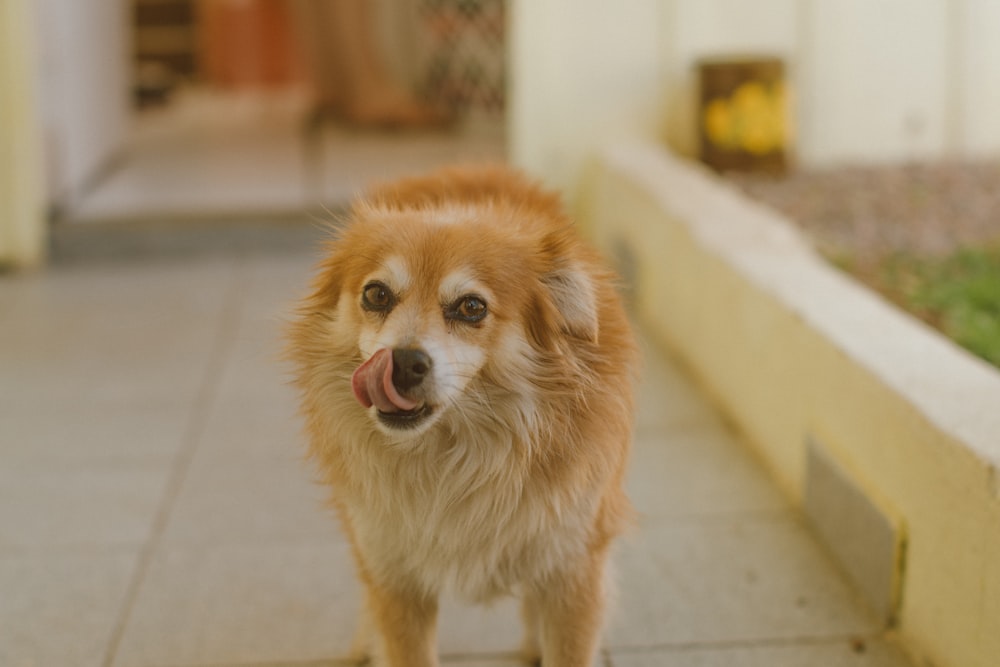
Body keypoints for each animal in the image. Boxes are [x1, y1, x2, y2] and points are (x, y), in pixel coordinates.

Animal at [286, 164, 636, 664]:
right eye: (376, 295)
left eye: (472, 307)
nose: (403, 362)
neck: (456, 458)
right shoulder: (394, 576)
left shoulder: (573, 571)